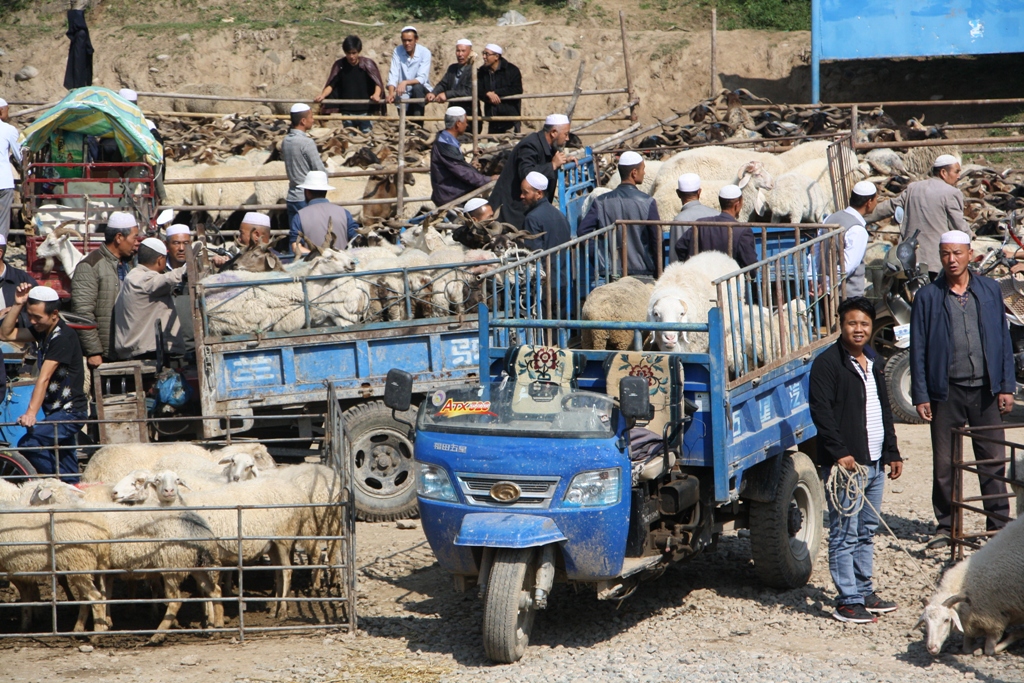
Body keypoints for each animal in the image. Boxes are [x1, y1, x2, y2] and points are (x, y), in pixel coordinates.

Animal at [917, 518, 1024, 655]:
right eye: (925, 621)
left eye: (946, 620)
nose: (932, 648)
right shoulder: (970, 623)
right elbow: (966, 648)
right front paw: (975, 646)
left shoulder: (996, 622)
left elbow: (989, 650)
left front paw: (1017, 634)